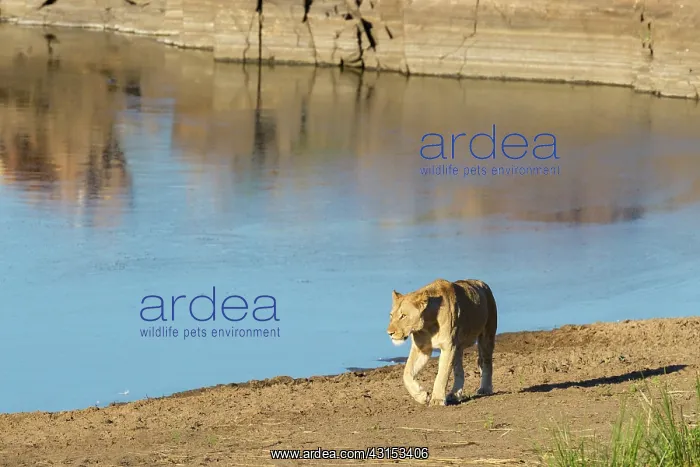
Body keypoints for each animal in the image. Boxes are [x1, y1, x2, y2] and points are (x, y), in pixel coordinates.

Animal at [386, 278, 497, 406]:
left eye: (403, 316)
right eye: (391, 315)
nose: (389, 333)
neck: (427, 325)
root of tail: (482, 283)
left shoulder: (448, 347)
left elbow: (442, 375)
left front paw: (437, 399)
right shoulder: (421, 349)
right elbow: (407, 373)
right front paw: (421, 396)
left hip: (486, 336)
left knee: (486, 363)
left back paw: (485, 389)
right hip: (458, 348)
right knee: (459, 371)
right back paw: (455, 395)